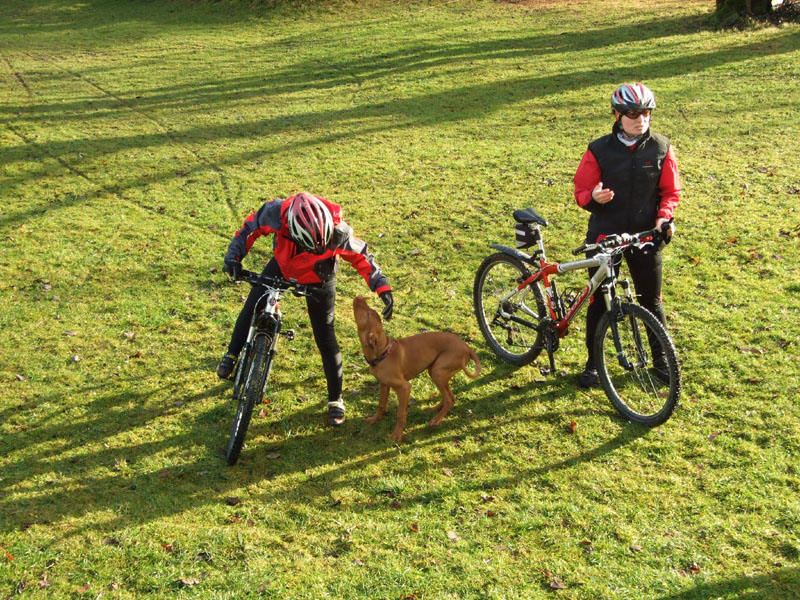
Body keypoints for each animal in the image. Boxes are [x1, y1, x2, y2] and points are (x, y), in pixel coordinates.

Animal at [352, 296, 478, 440]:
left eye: (368, 314)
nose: (360, 297)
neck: (383, 354)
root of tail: (467, 347)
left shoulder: (405, 387)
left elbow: (400, 414)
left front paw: (397, 434)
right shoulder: (384, 384)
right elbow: (381, 404)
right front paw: (375, 419)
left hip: (438, 372)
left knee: (450, 399)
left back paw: (437, 420)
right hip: (437, 372)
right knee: (448, 396)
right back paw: (434, 409)